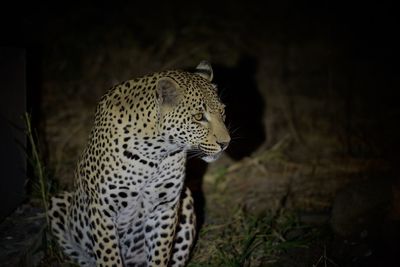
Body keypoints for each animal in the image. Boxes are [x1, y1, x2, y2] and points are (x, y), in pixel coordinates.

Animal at [49, 61, 231, 267]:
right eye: (199, 117)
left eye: (223, 112)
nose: (226, 143)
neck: (155, 154)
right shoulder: (102, 210)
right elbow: (109, 257)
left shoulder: (164, 207)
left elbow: (159, 255)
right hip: (58, 204)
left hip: (186, 200)